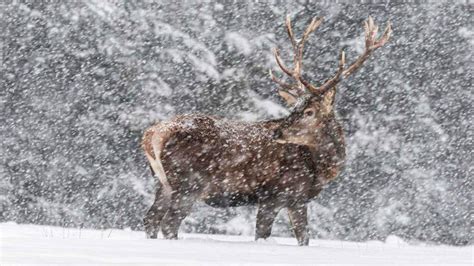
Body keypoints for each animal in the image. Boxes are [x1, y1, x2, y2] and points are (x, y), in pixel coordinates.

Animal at [142, 15, 392, 245]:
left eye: (309, 111)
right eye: (295, 107)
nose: (277, 132)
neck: (319, 170)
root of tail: (154, 133)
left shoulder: (298, 199)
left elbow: (304, 238)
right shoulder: (275, 194)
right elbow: (262, 235)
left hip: (163, 183)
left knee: (150, 219)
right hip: (189, 183)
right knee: (169, 223)